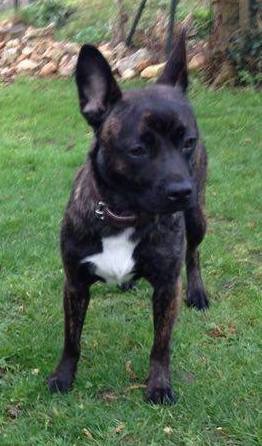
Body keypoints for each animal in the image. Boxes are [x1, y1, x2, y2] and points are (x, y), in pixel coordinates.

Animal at [48, 29, 209, 402]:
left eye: (188, 142)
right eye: (138, 150)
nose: (181, 190)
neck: (124, 215)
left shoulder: (166, 287)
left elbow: (161, 344)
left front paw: (159, 385)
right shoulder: (74, 285)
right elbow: (71, 339)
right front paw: (63, 376)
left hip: (197, 219)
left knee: (193, 254)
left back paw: (197, 292)